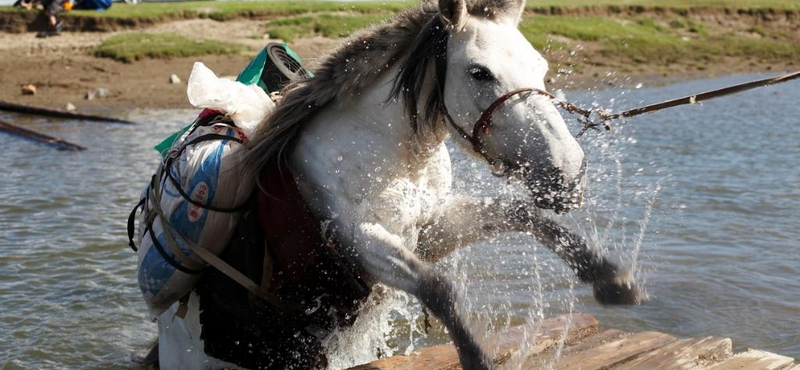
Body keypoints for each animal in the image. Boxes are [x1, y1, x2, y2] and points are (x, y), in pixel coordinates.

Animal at [150, 1, 636, 368]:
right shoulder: (357, 242)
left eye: (541, 66)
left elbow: (520, 213)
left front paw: (608, 276)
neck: (392, 155)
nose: (567, 172)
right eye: (479, 72)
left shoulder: (428, 231)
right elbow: (438, 287)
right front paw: (476, 356)